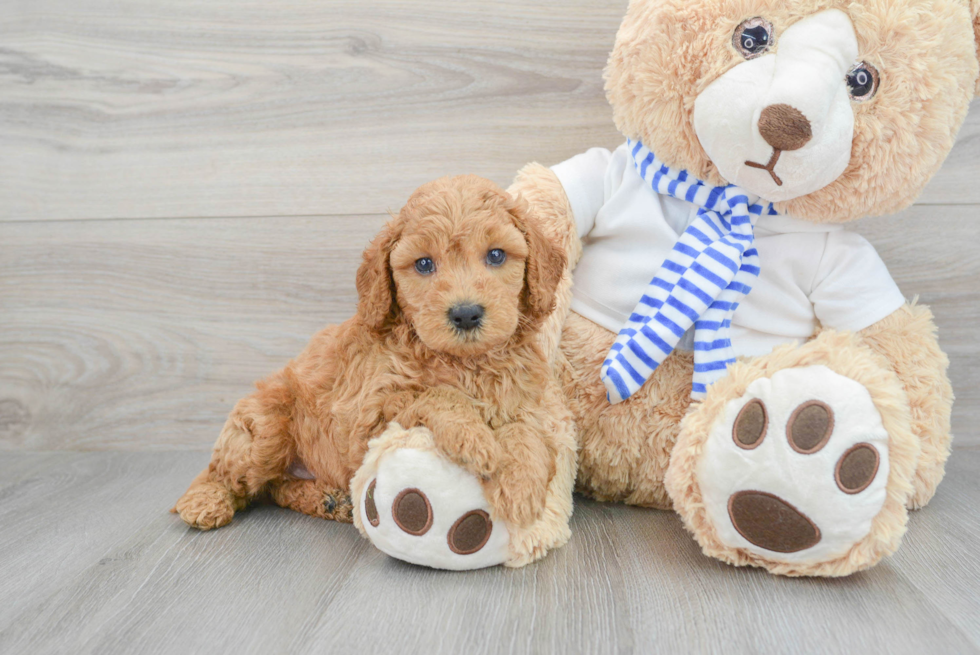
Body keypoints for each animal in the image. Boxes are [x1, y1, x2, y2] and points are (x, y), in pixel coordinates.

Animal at [175, 174, 568, 532]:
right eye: (424, 264)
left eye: (496, 255)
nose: (466, 314)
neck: (463, 362)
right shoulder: (364, 422)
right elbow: (432, 394)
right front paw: (473, 438)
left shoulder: (525, 401)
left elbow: (528, 434)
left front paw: (521, 486)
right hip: (264, 427)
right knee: (229, 474)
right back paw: (204, 500)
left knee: (275, 488)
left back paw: (329, 500)